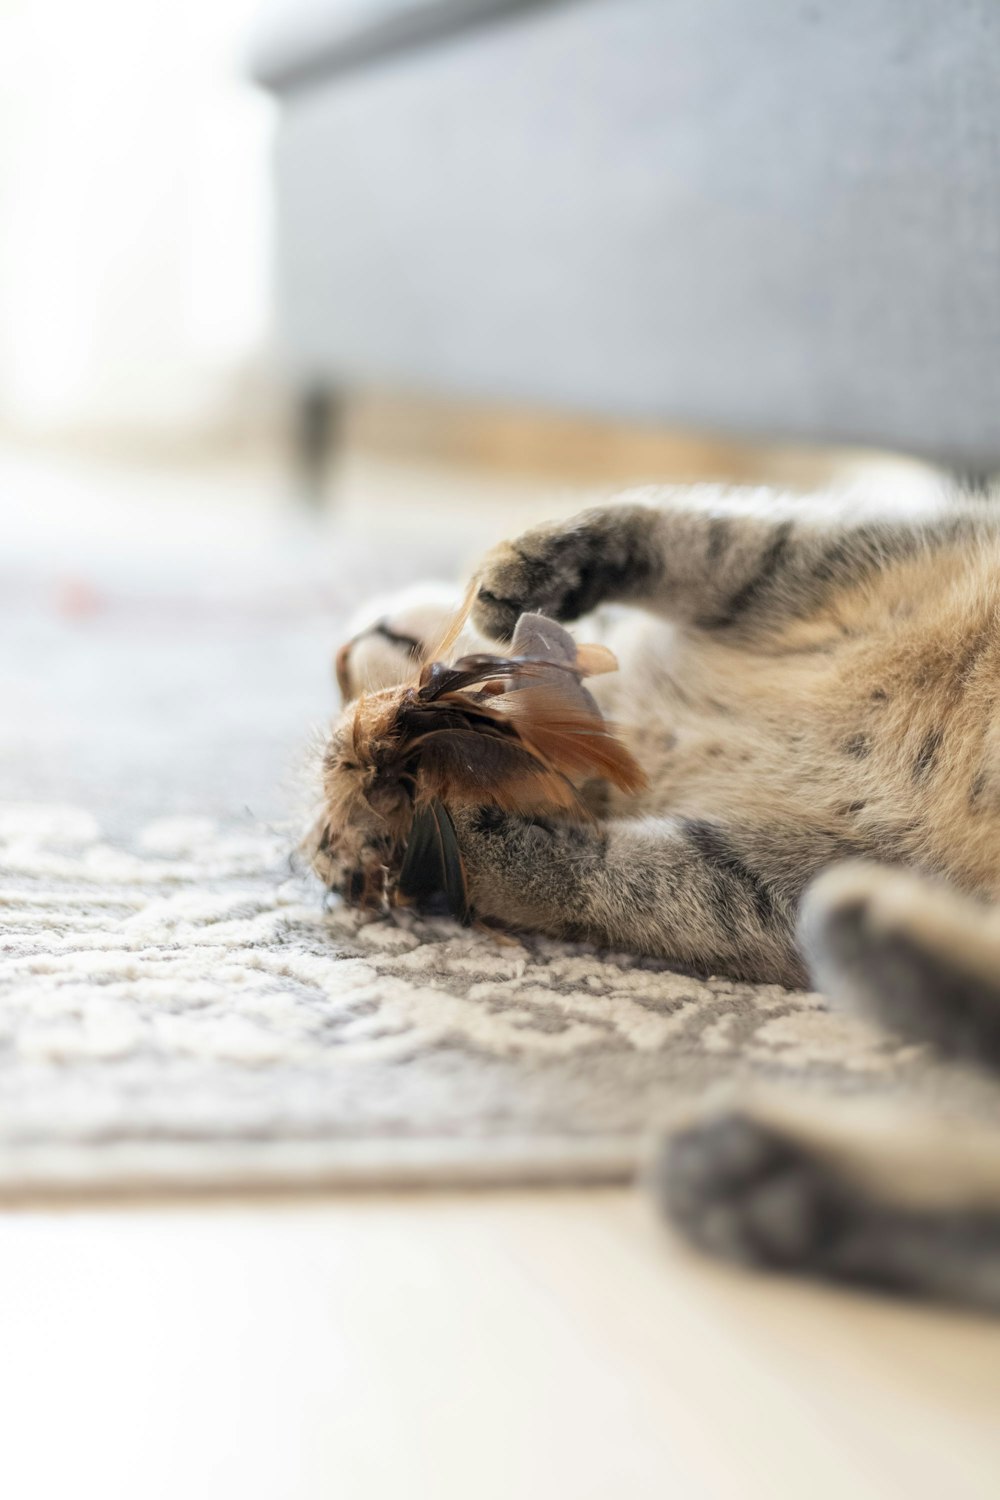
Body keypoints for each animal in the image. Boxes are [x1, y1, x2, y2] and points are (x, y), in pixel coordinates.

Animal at [316, 486, 1000, 1308]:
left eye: (344, 686)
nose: (339, 661)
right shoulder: (755, 878)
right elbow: (612, 873)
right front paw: (439, 838)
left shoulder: (850, 546)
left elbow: (696, 531)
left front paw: (539, 563)